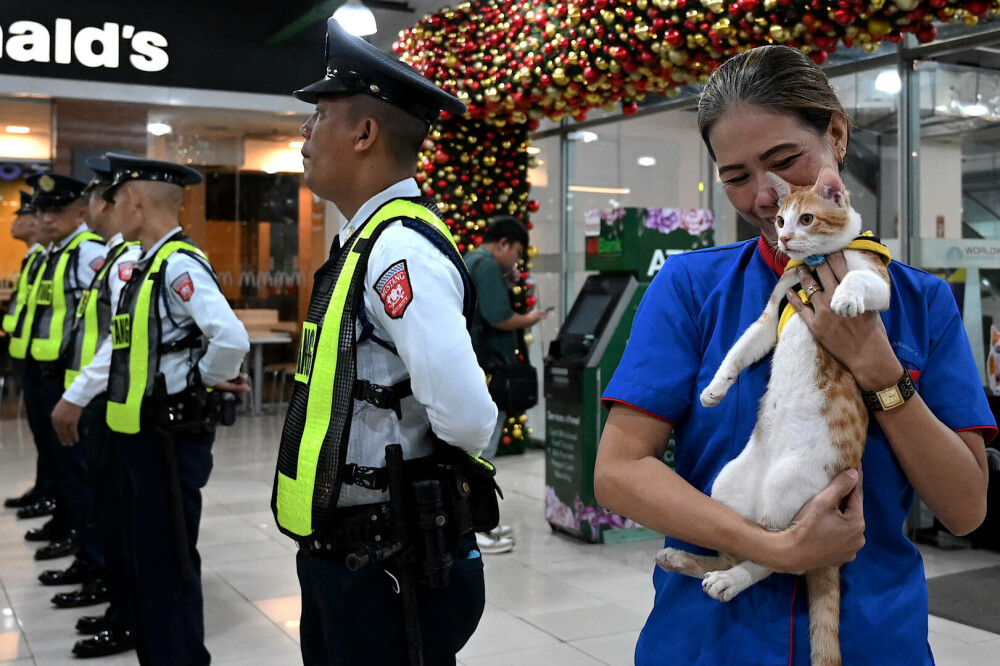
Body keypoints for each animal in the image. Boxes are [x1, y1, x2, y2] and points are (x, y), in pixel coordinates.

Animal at [656, 166, 892, 664]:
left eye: (806, 218)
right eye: (780, 219)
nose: (783, 238)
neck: (817, 263)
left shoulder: (878, 281)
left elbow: (860, 284)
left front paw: (844, 298)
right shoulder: (772, 311)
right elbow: (741, 347)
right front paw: (713, 390)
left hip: (792, 486)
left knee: (780, 557)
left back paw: (729, 581)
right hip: (726, 484)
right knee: (747, 544)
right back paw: (688, 562)